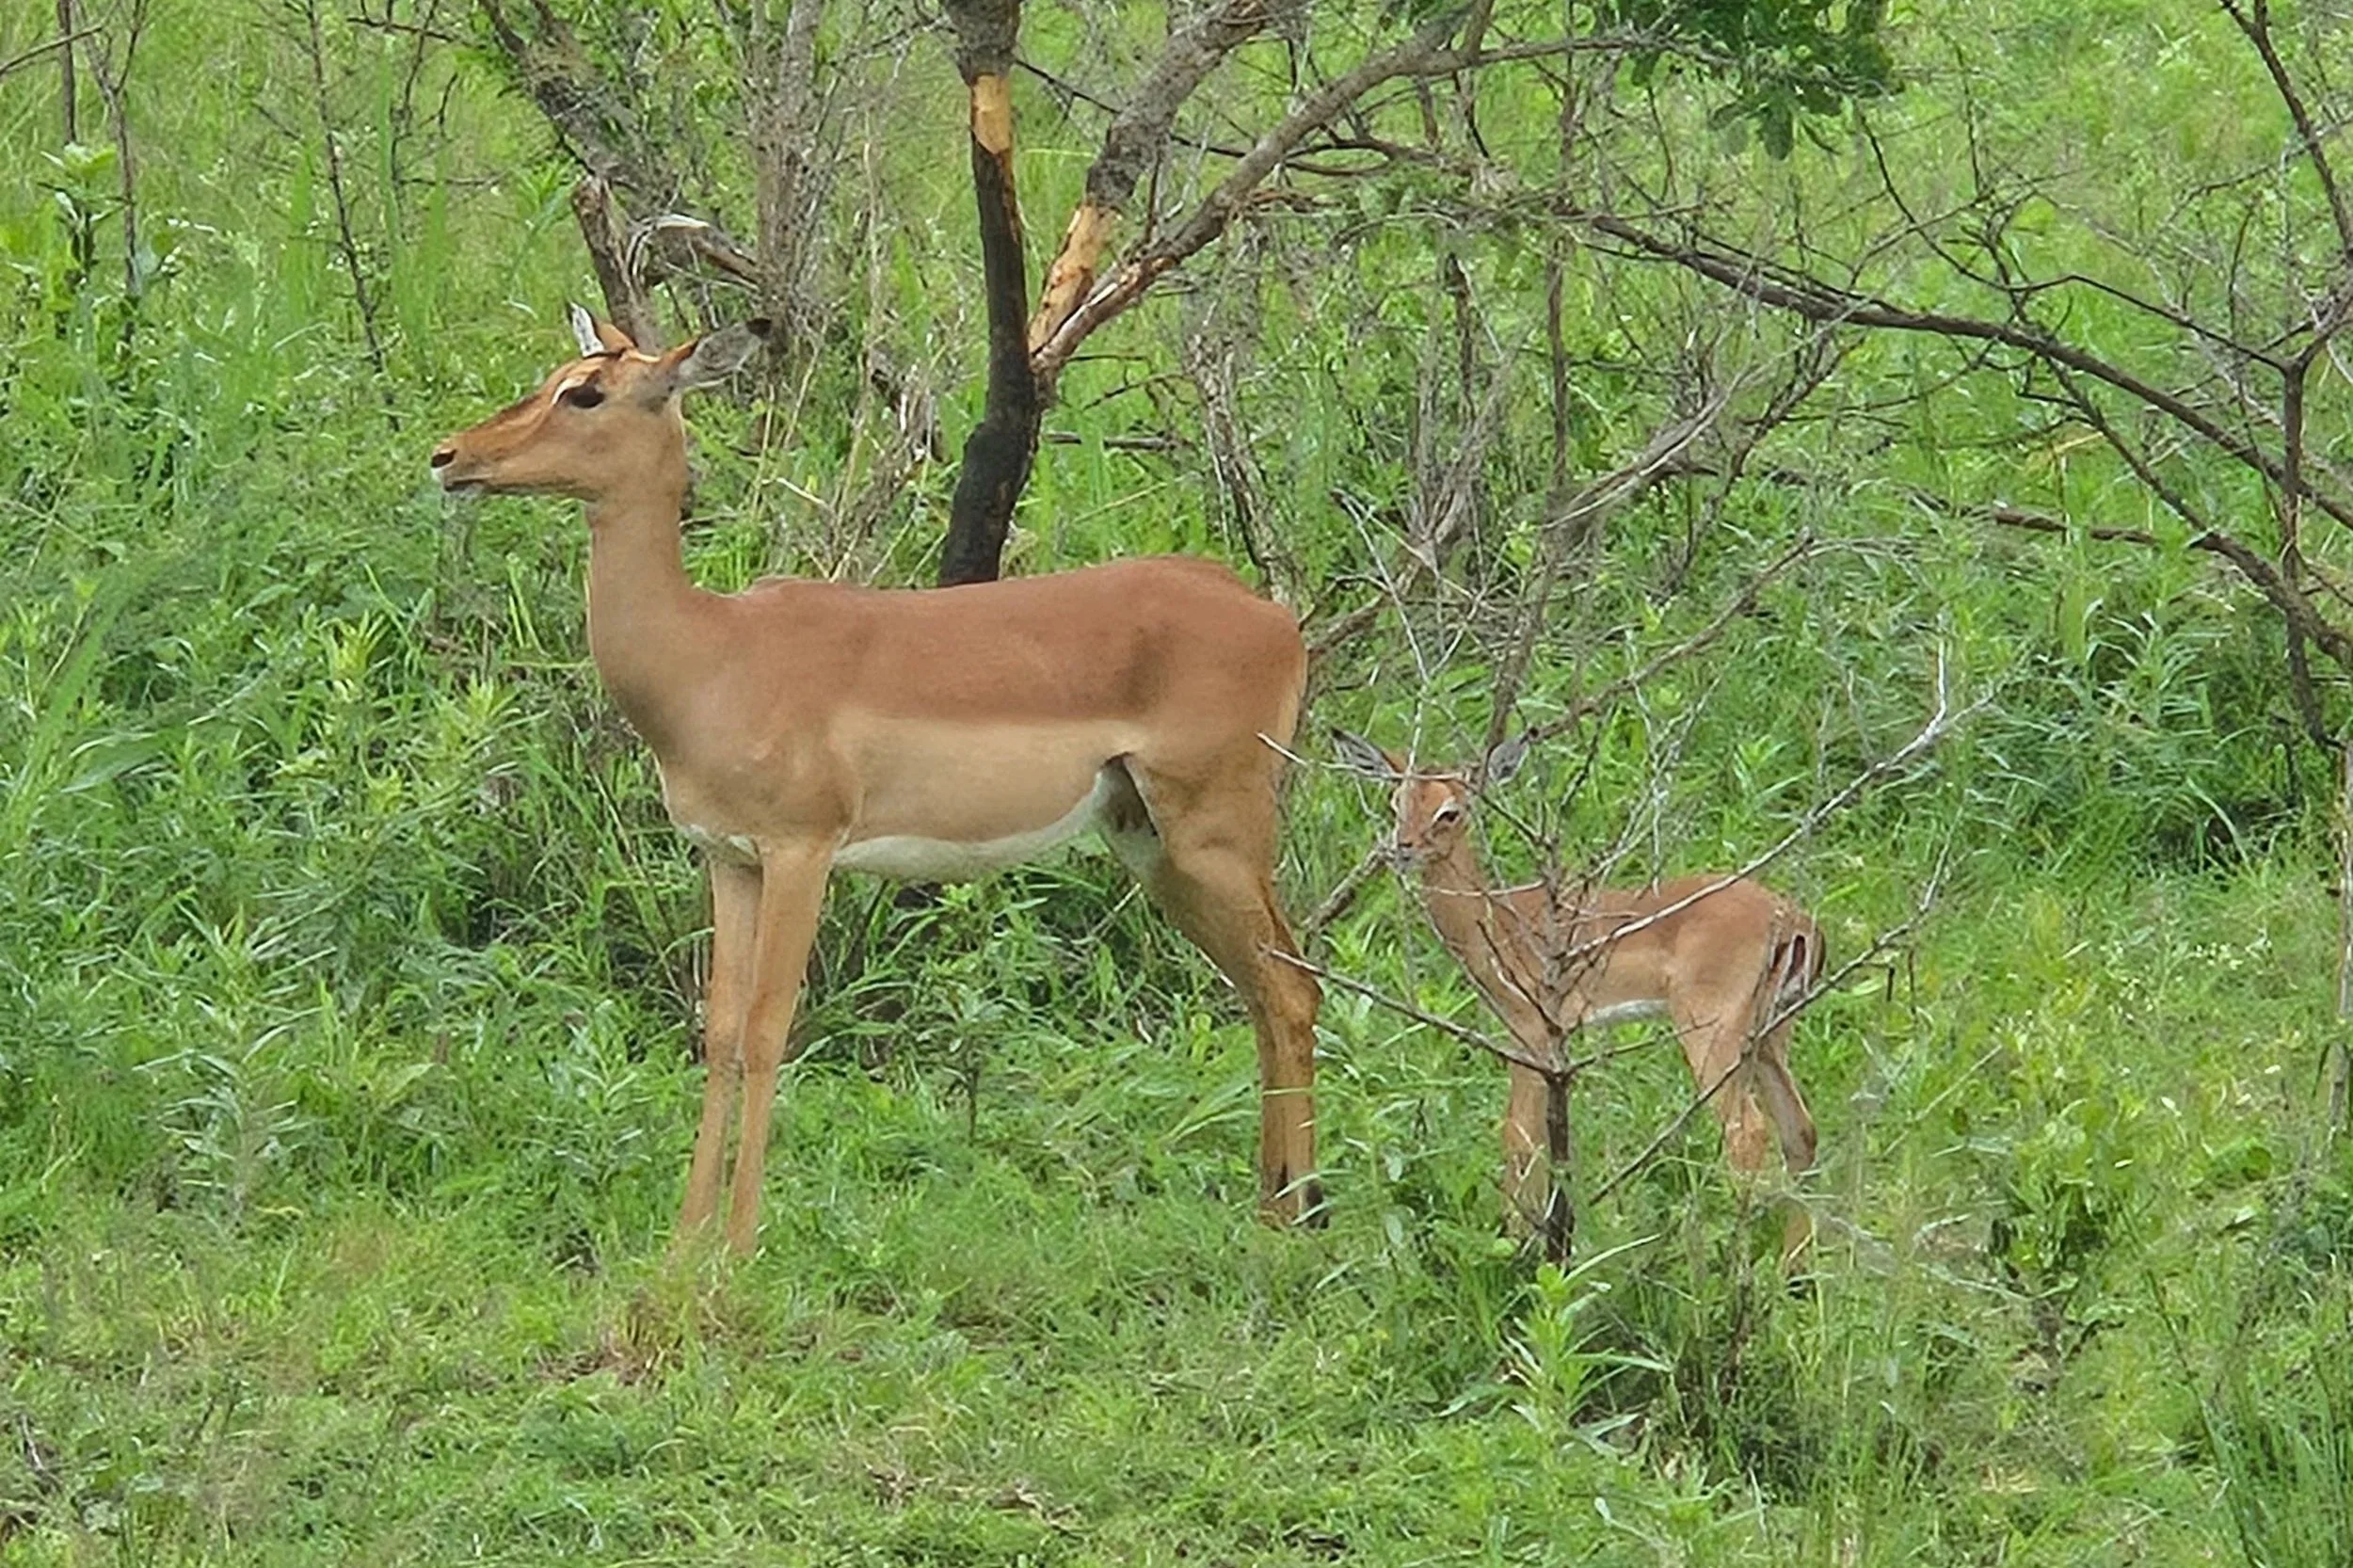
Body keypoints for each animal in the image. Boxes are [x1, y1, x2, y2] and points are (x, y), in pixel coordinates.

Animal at [432, 309, 1323, 1254]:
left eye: (587, 392)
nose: (450, 455)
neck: (712, 656)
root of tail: (1273, 616)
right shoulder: (730, 858)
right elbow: (720, 1031)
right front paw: (684, 1241)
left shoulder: (802, 850)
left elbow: (768, 1027)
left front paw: (739, 1245)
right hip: (1151, 844)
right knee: (1264, 994)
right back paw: (1273, 1212)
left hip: (1217, 836)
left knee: (1292, 988)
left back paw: (1299, 1219)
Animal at [1332, 730, 1820, 1254]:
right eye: (1395, 802)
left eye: (1450, 811)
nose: (1402, 847)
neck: (1498, 923)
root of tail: (1795, 921)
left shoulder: (1531, 1034)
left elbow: (1518, 1136)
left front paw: (1517, 1245)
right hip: (1769, 1038)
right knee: (1800, 1132)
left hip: (1713, 1035)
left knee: (1748, 1133)